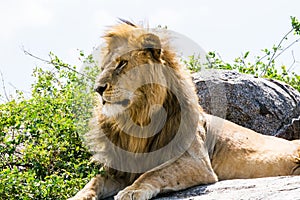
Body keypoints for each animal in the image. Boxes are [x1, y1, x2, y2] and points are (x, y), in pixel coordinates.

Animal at [68, 20, 300, 200]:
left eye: (122, 64)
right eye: (102, 68)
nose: (98, 88)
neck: (139, 119)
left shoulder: (198, 162)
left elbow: (155, 173)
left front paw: (132, 191)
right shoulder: (122, 167)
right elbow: (94, 181)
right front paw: (78, 196)